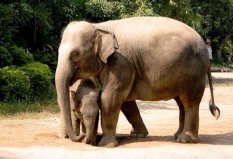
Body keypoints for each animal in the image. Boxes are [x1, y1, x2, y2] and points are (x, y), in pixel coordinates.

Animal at [55, 16, 219, 148]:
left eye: (75, 54)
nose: (82, 137)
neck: (100, 27)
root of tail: (204, 47)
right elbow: (126, 102)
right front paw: (138, 135)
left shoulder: (121, 62)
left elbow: (110, 97)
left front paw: (106, 145)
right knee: (181, 103)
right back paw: (177, 135)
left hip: (193, 72)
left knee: (189, 101)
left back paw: (185, 140)